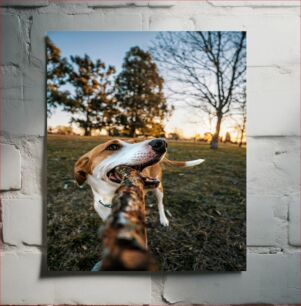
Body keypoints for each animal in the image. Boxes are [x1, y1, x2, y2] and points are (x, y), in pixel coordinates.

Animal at [74, 137, 204, 226]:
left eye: (133, 141)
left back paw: (163, 219)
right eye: (112, 147)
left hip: (159, 189)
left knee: (160, 204)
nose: (161, 142)